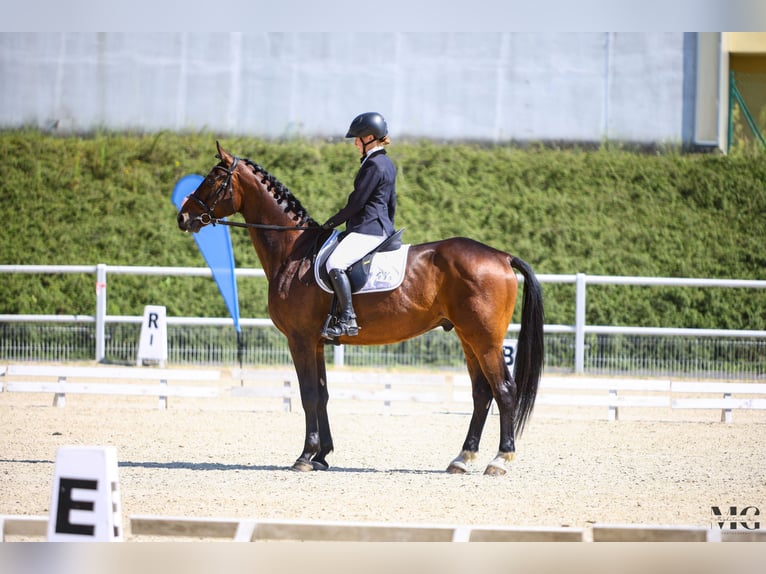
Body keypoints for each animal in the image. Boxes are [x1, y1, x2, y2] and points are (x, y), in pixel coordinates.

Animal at [177, 142, 544, 475]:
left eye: (213, 178)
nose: (183, 217)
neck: (293, 251)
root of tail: (501, 256)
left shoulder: (300, 339)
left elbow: (308, 395)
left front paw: (305, 457)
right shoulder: (317, 342)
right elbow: (323, 394)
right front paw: (322, 456)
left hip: (485, 339)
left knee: (504, 390)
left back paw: (500, 460)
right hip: (468, 339)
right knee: (482, 393)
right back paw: (461, 459)